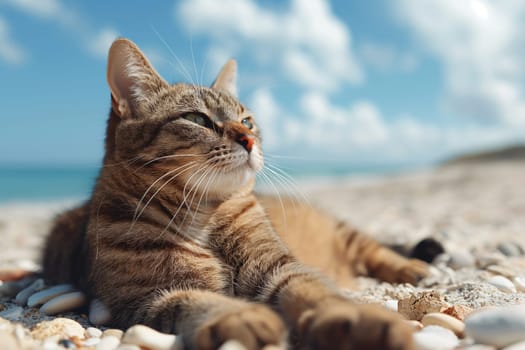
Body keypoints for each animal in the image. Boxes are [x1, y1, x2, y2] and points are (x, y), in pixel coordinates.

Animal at [43, 38, 428, 350]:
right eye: (197, 119)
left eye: (247, 121)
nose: (248, 139)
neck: (201, 213)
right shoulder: (143, 298)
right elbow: (197, 301)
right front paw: (239, 317)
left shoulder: (276, 265)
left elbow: (310, 290)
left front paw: (355, 320)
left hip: (346, 233)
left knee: (374, 248)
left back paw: (412, 266)